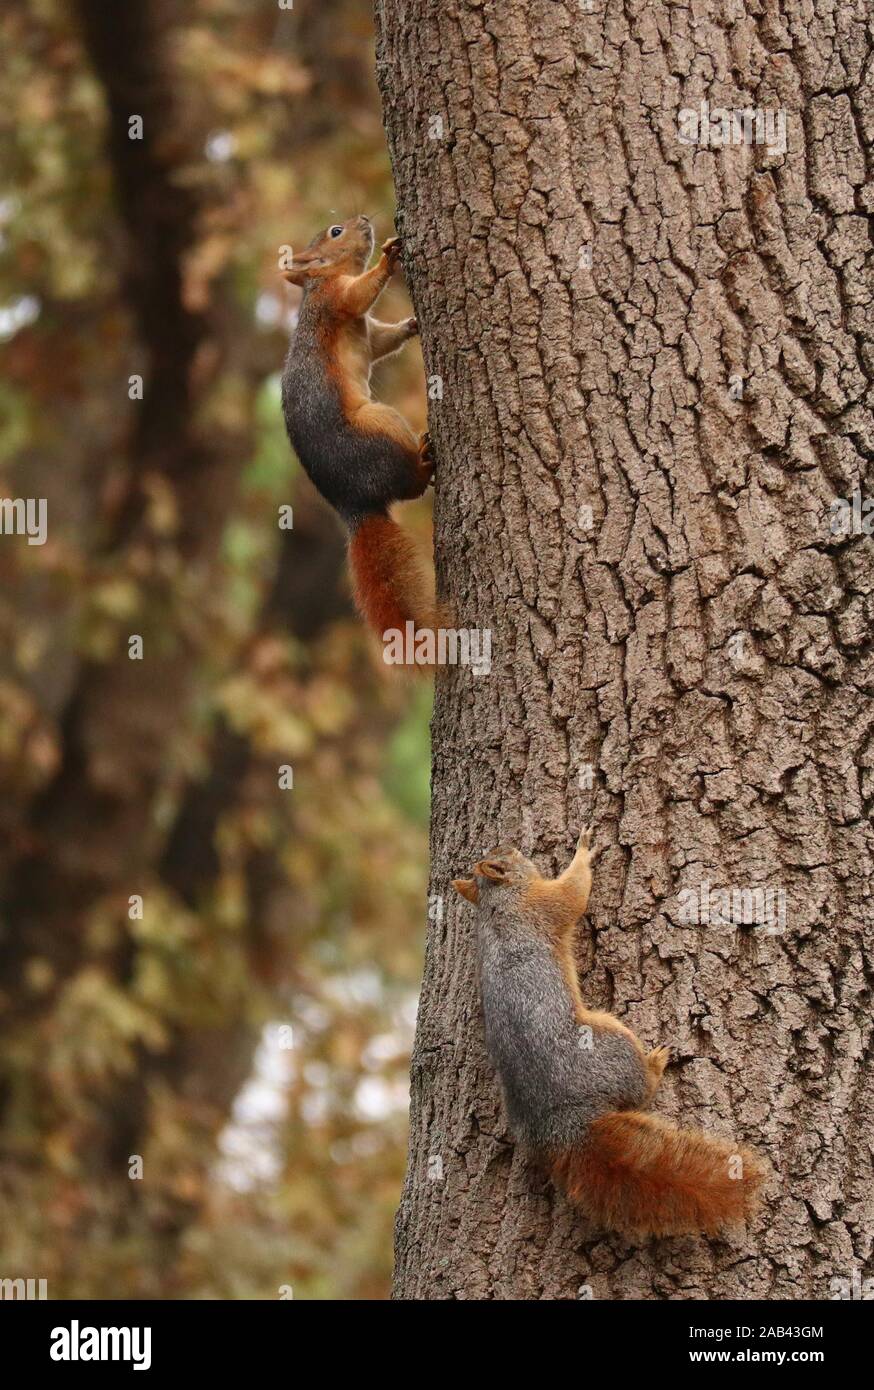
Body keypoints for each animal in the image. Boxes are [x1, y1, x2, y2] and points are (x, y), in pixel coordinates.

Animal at [280, 215, 439, 654]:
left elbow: (384, 341)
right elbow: (361, 294)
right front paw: (389, 257)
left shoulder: (368, 331)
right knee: (412, 486)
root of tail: (353, 502)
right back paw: (425, 460)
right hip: (383, 421)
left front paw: (411, 324)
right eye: (336, 231)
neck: (322, 279)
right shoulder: (337, 300)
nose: (365, 220)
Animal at [452, 829, 765, 1237]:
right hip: (613, 1040)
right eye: (505, 854)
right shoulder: (543, 906)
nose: (512, 842)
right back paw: (655, 1063)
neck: (497, 903)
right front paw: (584, 850)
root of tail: (562, 1122)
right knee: (638, 1089)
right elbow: (573, 893)